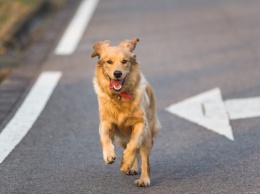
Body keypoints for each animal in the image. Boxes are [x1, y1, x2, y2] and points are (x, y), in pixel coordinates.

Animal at [91, 37, 160, 186]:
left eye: (124, 61)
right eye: (109, 62)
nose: (117, 73)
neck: (119, 96)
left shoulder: (141, 123)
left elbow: (133, 144)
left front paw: (126, 162)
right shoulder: (105, 122)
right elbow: (104, 138)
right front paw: (109, 155)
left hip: (147, 135)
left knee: (143, 157)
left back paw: (143, 178)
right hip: (121, 139)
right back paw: (131, 168)